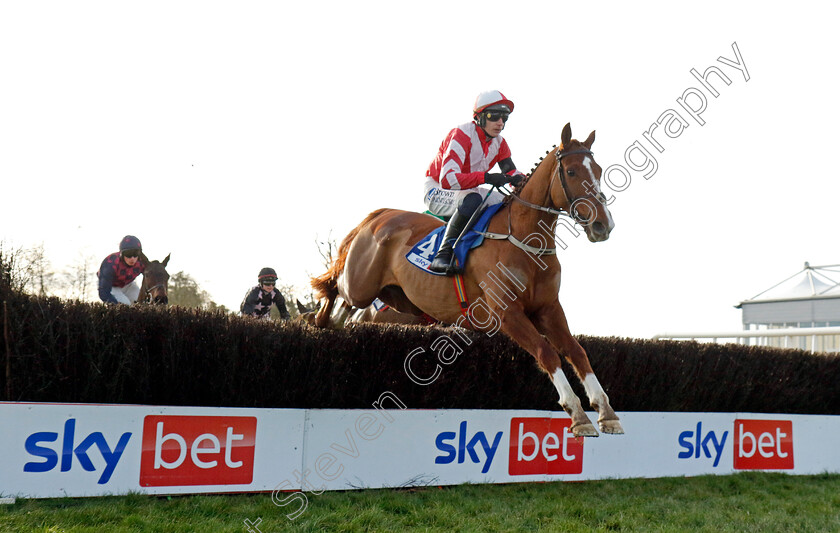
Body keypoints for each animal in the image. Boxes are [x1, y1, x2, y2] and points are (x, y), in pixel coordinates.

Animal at [314, 123, 624, 436]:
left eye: (598, 170)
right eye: (571, 172)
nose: (603, 224)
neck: (524, 241)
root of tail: (378, 216)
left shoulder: (548, 309)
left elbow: (577, 351)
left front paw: (606, 412)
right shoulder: (506, 313)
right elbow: (546, 351)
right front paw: (578, 414)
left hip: (398, 299)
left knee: (345, 310)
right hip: (361, 286)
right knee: (335, 289)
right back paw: (316, 318)